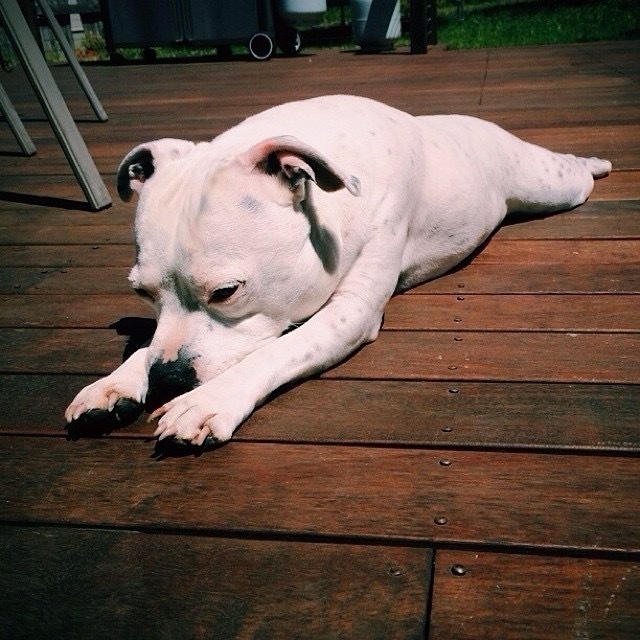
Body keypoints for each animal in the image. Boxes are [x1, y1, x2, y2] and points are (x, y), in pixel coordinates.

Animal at [65, 95, 608, 444]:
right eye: (142, 293)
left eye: (226, 291)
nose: (171, 378)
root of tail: (474, 122)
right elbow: (153, 342)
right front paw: (116, 382)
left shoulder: (348, 313)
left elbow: (276, 350)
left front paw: (208, 400)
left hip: (546, 184)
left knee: (574, 174)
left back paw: (597, 162)